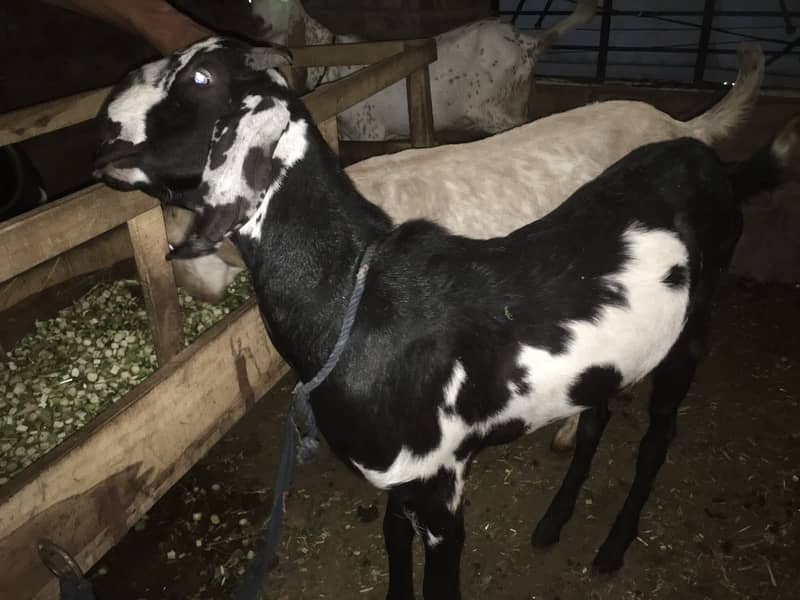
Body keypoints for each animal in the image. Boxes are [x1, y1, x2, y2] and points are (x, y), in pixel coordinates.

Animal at [94, 38, 798, 598]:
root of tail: (695, 144)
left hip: (690, 334)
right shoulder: (400, 481)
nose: (102, 122)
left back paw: (613, 545)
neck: (354, 288)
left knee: (657, 438)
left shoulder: (440, 485)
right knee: (599, 416)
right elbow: (391, 546)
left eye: (200, 78)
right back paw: (554, 519)